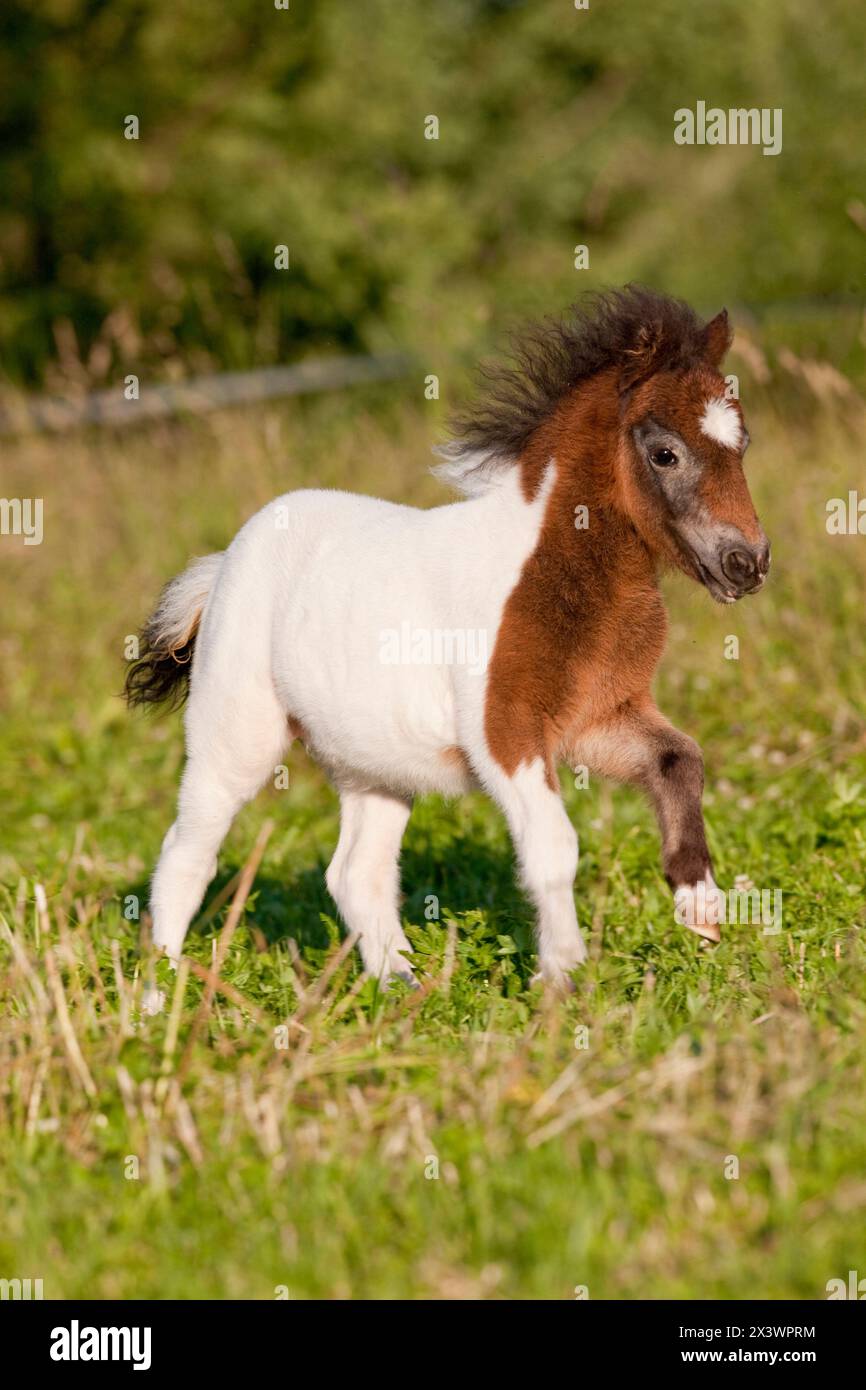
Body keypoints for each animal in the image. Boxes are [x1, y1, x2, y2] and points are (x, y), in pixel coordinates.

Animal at [125, 286, 770, 1012]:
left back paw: (406, 993)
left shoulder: (598, 718)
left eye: (742, 442)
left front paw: (701, 910)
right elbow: (554, 845)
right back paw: (158, 1000)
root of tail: (224, 562)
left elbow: (679, 760)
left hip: (374, 763)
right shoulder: (505, 733)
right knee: (188, 854)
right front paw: (562, 978)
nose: (747, 563)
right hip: (235, 735)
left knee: (356, 873)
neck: (554, 570)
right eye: (664, 453)